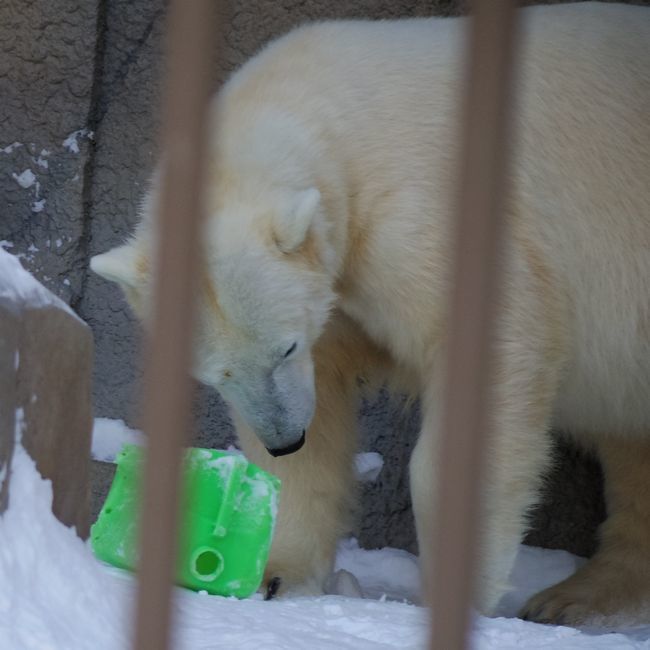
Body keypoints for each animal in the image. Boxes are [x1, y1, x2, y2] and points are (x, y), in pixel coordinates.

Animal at [88, 2, 644, 624]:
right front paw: (276, 575)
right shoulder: (335, 290)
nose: (284, 438)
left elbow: (486, 355)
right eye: (213, 375)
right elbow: (321, 414)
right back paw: (582, 595)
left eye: (285, 346)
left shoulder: (430, 210)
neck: (335, 106)